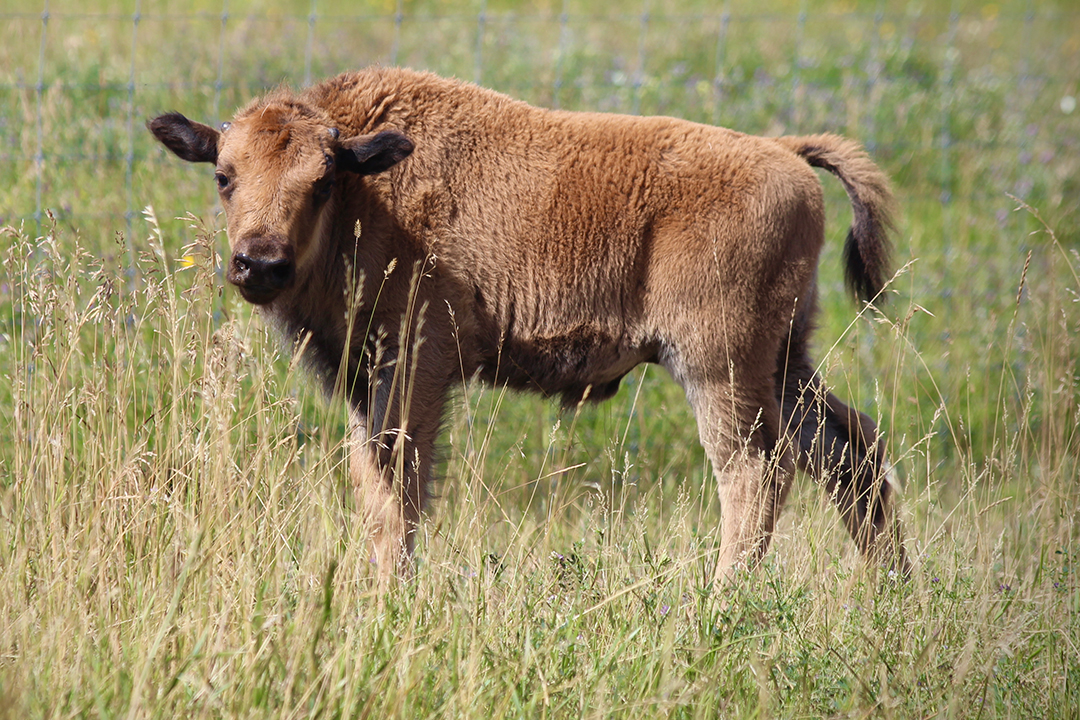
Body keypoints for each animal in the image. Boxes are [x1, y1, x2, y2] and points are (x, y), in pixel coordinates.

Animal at [150, 66, 911, 587]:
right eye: (224, 175)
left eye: (321, 181)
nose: (259, 263)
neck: (372, 191)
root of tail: (784, 151)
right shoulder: (369, 379)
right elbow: (376, 482)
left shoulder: (414, 368)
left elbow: (398, 488)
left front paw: (394, 590)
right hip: (784, 361)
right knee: (849, 449)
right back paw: (891, 586)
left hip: (719, 365)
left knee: (755, 471)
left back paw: (722, 598)